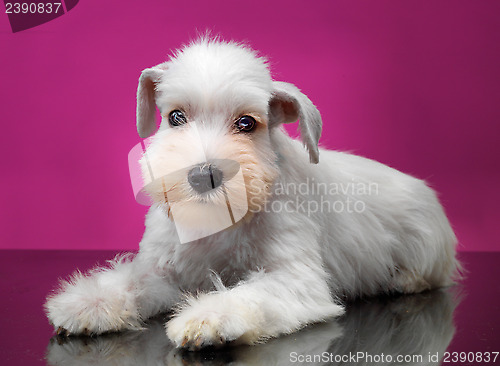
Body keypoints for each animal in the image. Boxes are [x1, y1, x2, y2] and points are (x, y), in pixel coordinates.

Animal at [45, 38, 458, 350]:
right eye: (175, 117)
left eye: (247, 123)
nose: (203, 176)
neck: (220, 223)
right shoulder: (164, 272)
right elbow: (132, 280)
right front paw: (88, 302)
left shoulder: (293, 278)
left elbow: (248, 294)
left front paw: (208, 317)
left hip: (427, 243)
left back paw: (402, 280)